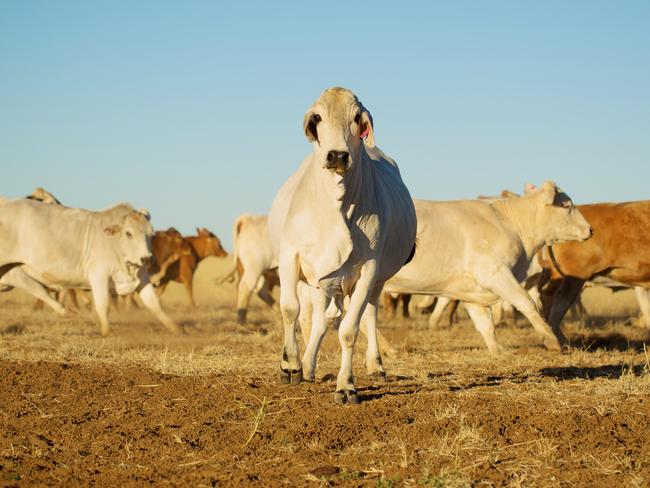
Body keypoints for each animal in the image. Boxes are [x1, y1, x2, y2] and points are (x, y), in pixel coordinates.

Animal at [0, 198, 181, 336]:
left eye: (151, 234)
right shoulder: (99, 275)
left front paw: (176, 329)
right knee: (36, 287)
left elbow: (155, 305)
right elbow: (102, 304)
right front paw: (107, 331)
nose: (147, 258)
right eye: (128, 233)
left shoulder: (142, 278)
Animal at [268, 87, 416, 404]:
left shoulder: (368, 269)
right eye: (318, 117)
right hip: (320, 282)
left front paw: (346, 385)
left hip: (374, 281)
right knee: (318, 320)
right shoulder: (291, 256)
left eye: (357, 118)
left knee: (367, 315)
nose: (337, 155)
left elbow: (349, 331)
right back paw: (307, 365)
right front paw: (291, 365)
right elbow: (290, 309)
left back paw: (376, 365)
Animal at [384, 183, 592, 354]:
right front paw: (551, 339)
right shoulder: (495, 273)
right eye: (566, 205)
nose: (590, 229)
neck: (510, 223)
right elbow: (526, 303)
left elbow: (485, 323)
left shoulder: (471, 290)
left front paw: (497, 350)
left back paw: (388, 350)